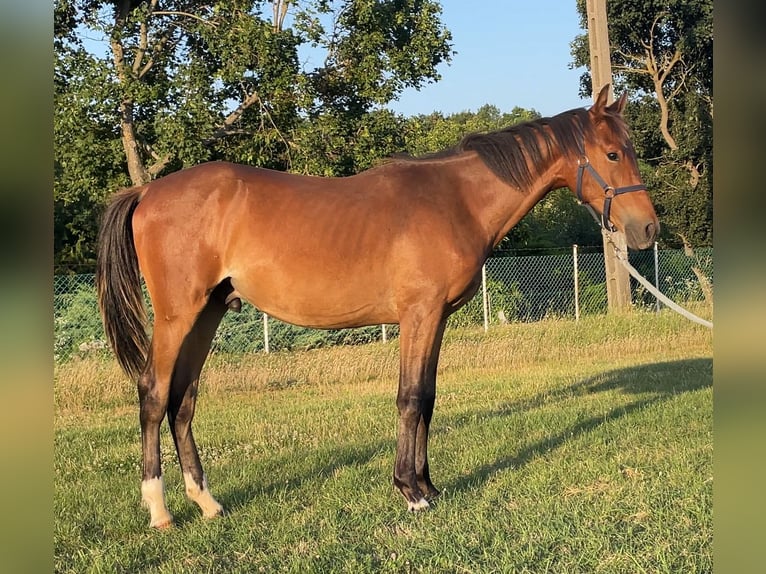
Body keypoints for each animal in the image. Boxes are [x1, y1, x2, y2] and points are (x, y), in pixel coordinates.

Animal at [96, 86, 660, 532]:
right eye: (613, 154)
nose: (648, 229)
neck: (454, 199)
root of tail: (147, 189)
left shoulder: (437, 319)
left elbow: (427, 398)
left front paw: (429, 487)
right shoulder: (418, 315)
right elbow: (409, 398)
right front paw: (410, 492)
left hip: (208, 314)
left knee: (183, 401)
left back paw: (206, 502)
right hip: (177, 317)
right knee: (153, 394)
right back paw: (160, 510)